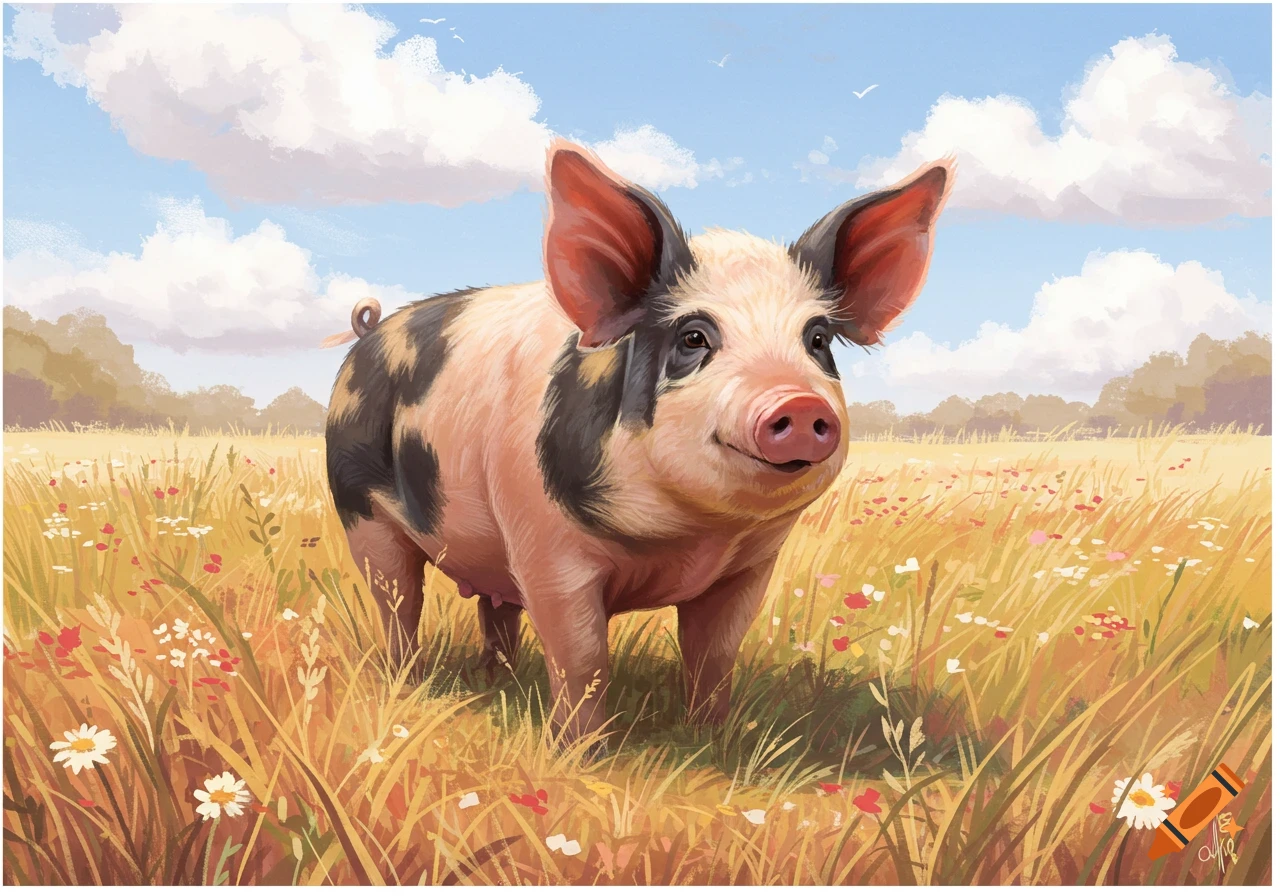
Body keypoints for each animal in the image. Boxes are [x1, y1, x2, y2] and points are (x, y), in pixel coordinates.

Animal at [324, 140, 952, 742]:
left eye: (817, 339)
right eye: (693, 337)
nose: (797, 404)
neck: (690, 534)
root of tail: (367, 333)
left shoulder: (749, 567)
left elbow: (714, 654)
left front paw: (710, 737)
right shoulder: (545, 549)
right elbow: (581, 659)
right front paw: (581, 751)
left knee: (495, 608)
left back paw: (496, 680)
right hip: (361, 514)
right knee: (398, 603)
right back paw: (413, 684)